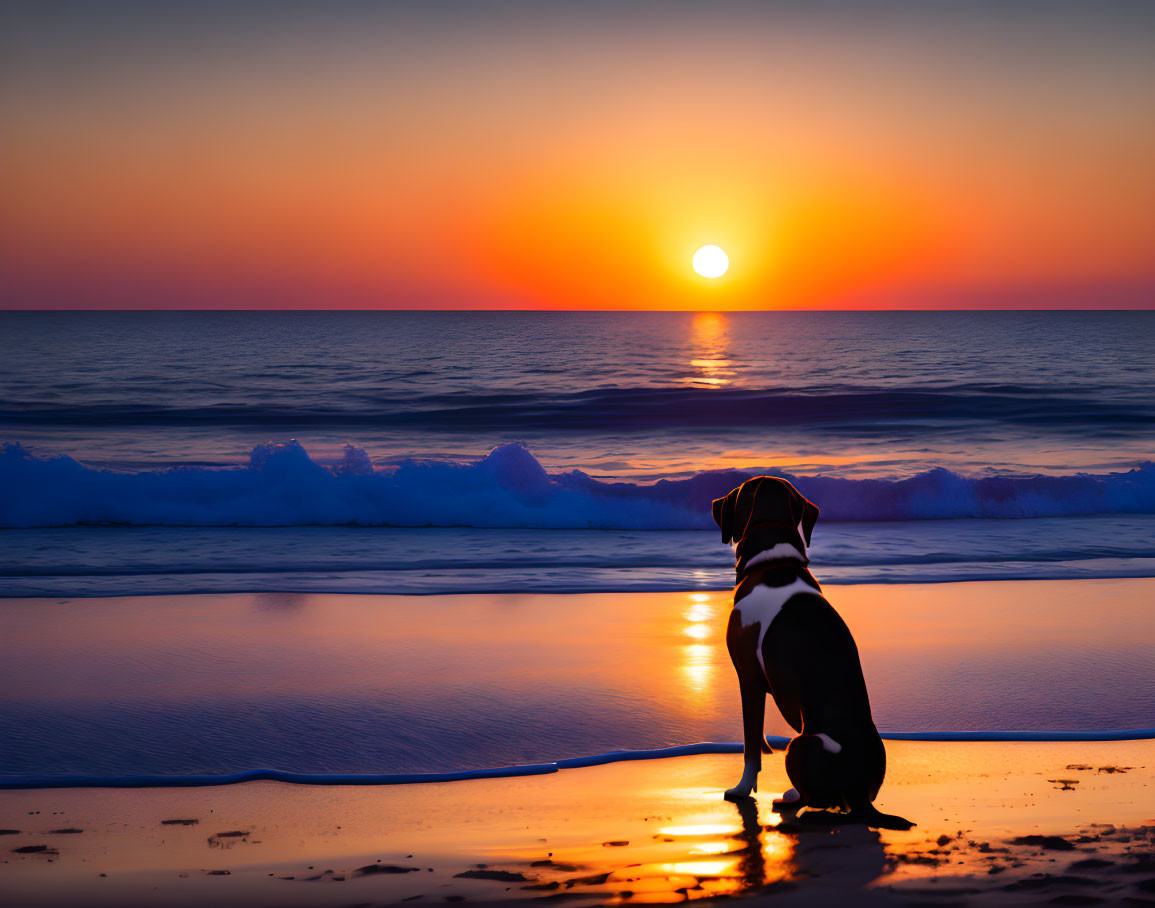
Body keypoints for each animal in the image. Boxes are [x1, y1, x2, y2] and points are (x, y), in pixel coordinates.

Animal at [711, 473, 910, 827]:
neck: (774, 563)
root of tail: (859, 795)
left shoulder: (748, 676)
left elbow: (751, 745)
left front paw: (742, 789)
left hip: (800, 743)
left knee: (813, 798)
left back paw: (789, 797)